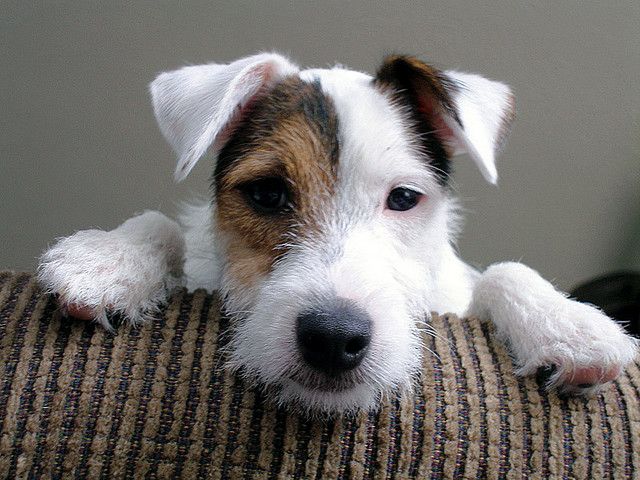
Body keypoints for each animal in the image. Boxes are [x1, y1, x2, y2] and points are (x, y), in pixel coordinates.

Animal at [37, 51, 636, 412]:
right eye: (267, 194)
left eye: (404, 198)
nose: (333, 338)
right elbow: (165, 224)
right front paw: (104, 261)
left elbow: (501, 273)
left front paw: (570, 325)